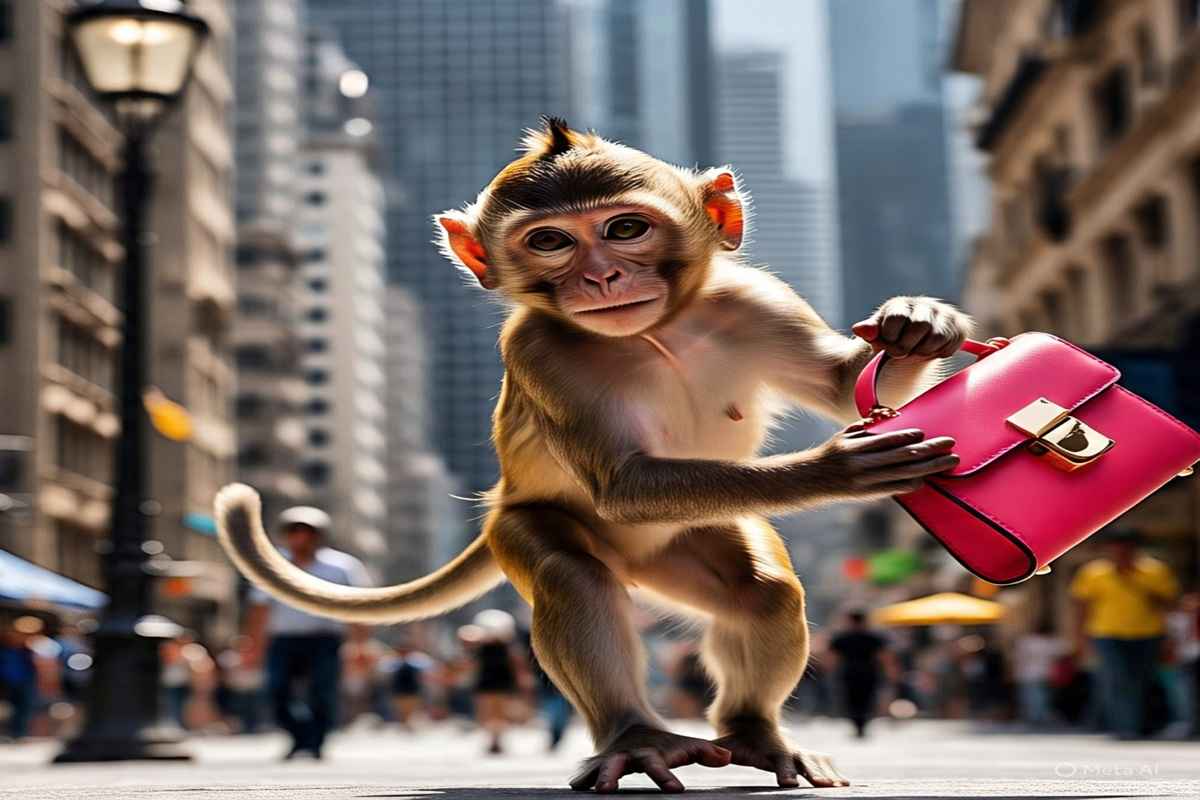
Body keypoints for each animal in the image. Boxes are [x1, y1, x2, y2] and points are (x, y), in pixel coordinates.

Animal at [215, 117, 969, 793]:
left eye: (625, 229)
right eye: (550, 240)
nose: (603, 277)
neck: (655, 332)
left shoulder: (757, 300)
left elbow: (841, 384)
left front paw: (918, 325)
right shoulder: (538, 352)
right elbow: (622, 484)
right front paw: (835, 468)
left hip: (685, 539)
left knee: (761, 591)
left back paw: (754, 732)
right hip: (522, 523)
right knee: (574, 575)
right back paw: (634, 737)